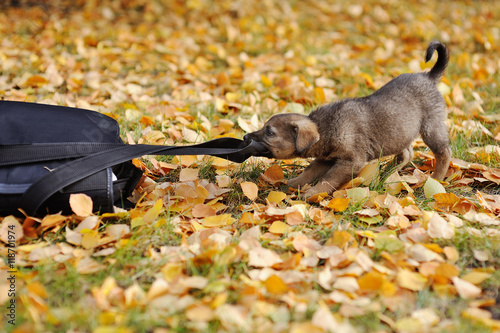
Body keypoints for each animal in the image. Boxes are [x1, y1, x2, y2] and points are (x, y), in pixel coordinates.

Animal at [244, 41, 452, 197]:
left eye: (270, 133)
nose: (245, 138)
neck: (325, 128)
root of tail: (429, 77)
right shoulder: (325, 159)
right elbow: (309, 171)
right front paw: (294, 183)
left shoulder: (349, 162)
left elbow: (328, 180)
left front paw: (313, 193)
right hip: (399, 132)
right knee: (407, 154)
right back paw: (386, 174)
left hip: (431, 127)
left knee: (444, 152)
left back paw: (437, 178)